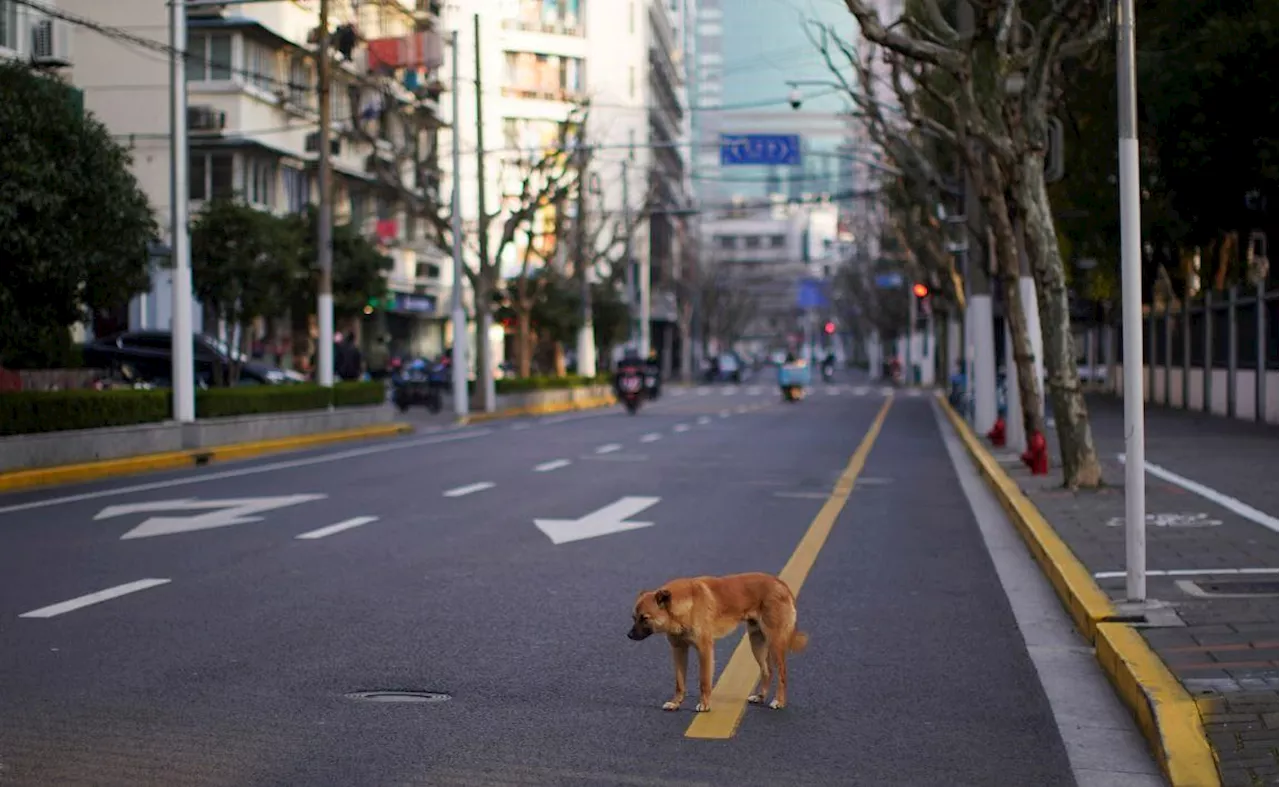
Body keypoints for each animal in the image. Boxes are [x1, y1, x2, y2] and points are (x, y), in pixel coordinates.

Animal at [624, 573, 803, 716]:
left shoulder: (705, 650)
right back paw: (760, 696)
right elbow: (679, 683)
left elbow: (704, 681)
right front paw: (675, 703)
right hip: (757, 643)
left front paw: (704, 705)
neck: (685, 606)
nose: (629, 636)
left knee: (782, 673)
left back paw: (779, 701)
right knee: (768, 671)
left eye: (644, 618)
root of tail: (780, 583)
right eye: (633, 618)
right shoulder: (679, 650)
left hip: (775, 643)